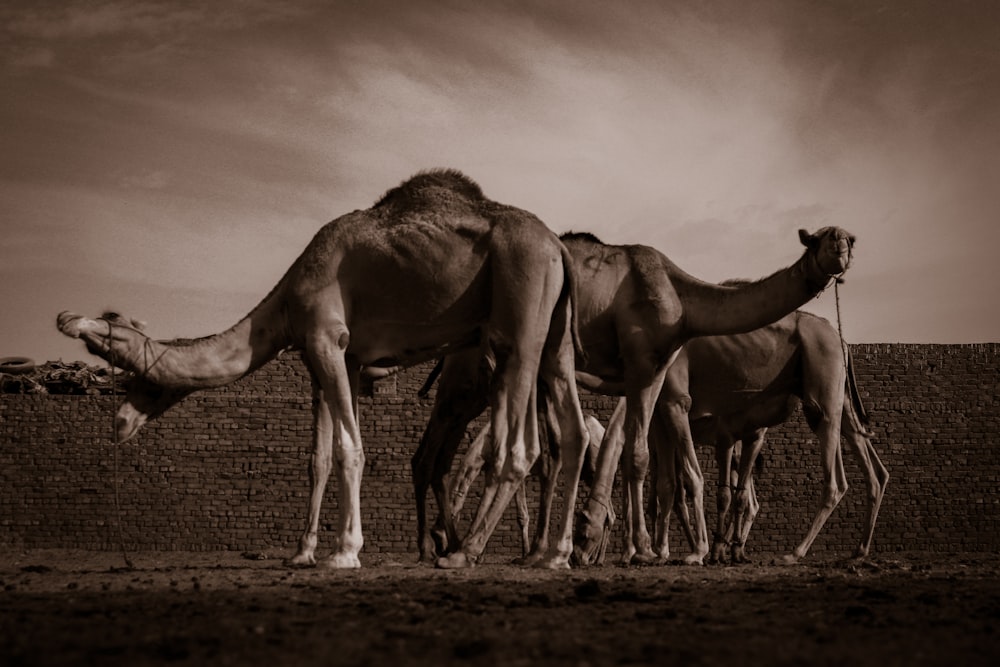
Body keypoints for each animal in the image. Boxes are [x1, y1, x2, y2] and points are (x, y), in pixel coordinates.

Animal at [58, 170, 588, 572]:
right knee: (575, 432)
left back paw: (464, 553)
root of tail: (556, 248)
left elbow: (349, 448)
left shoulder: (325, 337)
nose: (119, 422)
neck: (286, 299)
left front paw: (345, 552)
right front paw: (302, 552)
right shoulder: (336, 359)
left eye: (144, 379)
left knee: (522, 444)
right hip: (556, 339)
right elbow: (319, 457)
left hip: (518, 322)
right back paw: (555, 556)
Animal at [410, 227, 856, 568]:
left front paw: (643, 550)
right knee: (446, 447)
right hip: (470, 376)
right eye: (820, 238)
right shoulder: (650, 372)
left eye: (849, 238)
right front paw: (672, 550)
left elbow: (640, 460)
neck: (681, 299)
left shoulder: (653, 371)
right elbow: (661, 467)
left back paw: (451, 542)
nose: (841, 248)